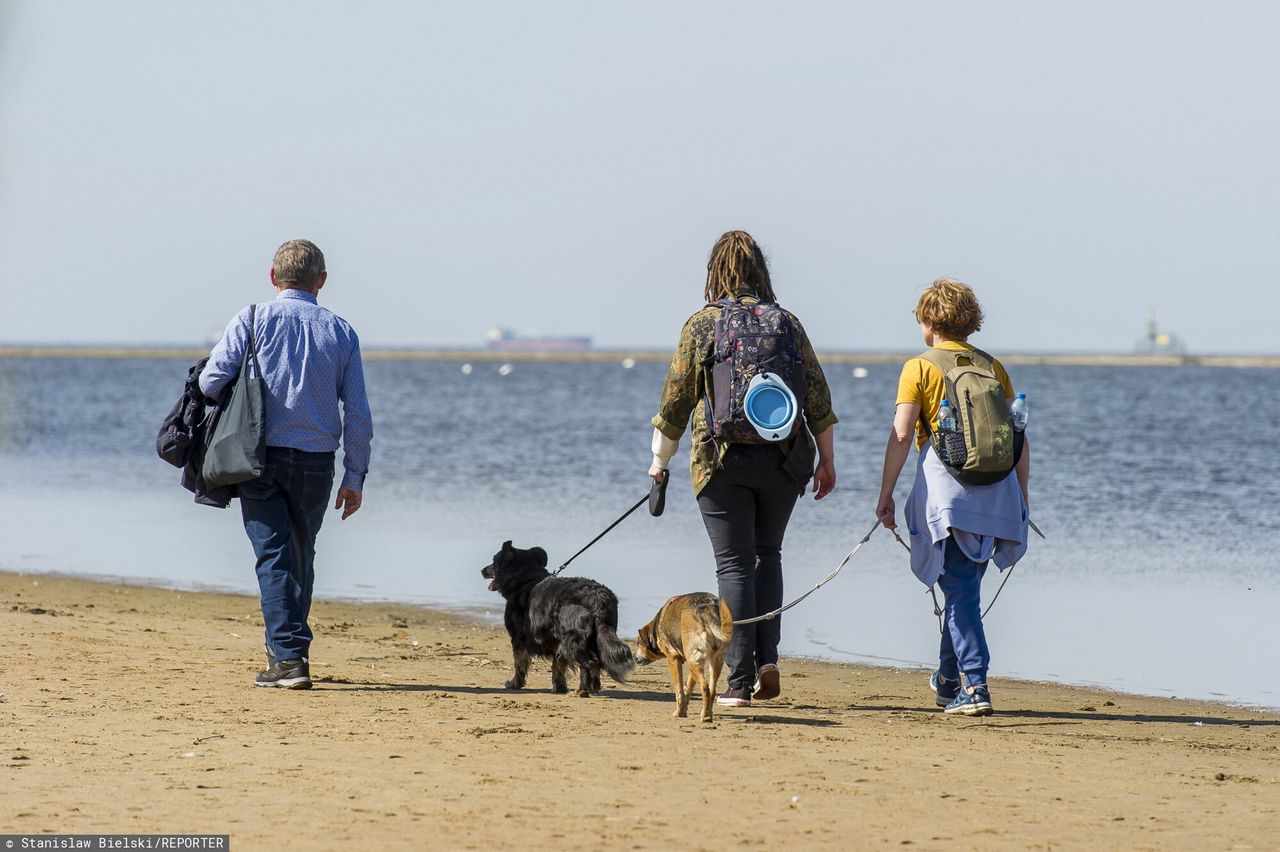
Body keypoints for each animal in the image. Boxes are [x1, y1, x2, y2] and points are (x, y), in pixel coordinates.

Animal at [481, 539, 634, 695]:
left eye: (494, 561)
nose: (482, 570)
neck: (526, 579)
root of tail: (598, 598)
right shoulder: (556, 642)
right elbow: (558, 666)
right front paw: (559, 687)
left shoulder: (519, 638)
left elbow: (520, 664)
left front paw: (515, 683)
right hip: (595, 636)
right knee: (596, 662)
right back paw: (594, 687)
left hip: (573, 639)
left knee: (590, 662)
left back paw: (582, 690)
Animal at [634, 593, 737, 721]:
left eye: (638, 643)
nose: (633, 657)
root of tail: (708, 610)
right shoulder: (693, 663)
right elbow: (688, 687)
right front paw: (684, 709)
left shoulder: (673, 659)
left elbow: (679, 690)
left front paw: (679, 712)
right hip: (713, 660)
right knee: (712, 689)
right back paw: (708, 712)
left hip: (694, 658)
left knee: (705, 687)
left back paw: (706, 716)